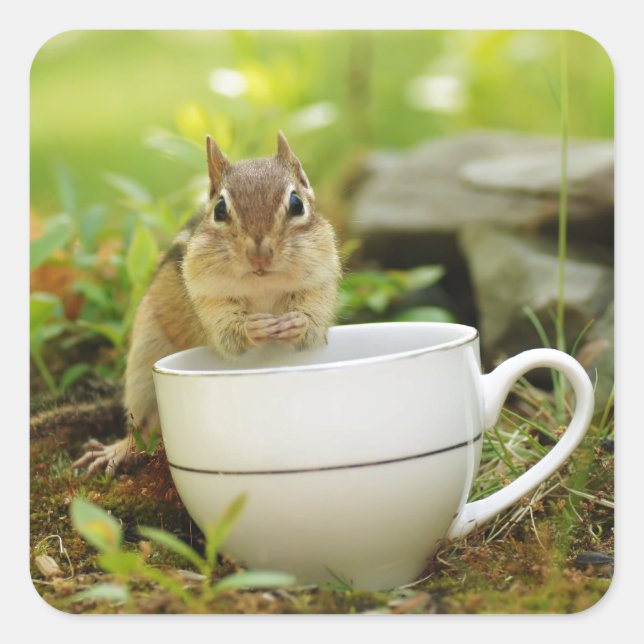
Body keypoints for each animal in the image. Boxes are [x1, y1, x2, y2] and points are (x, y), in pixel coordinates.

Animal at [35, 132, 341, 477]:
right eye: (220, 209)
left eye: (296, 204)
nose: (260, 255)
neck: (262, 282)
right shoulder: (207, 297)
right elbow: (227, 335)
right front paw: (253, 326)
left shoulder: (318, 284)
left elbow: (311, 328)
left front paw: (295, 322)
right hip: (144, 361)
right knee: (141, 427)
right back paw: (116, 451)